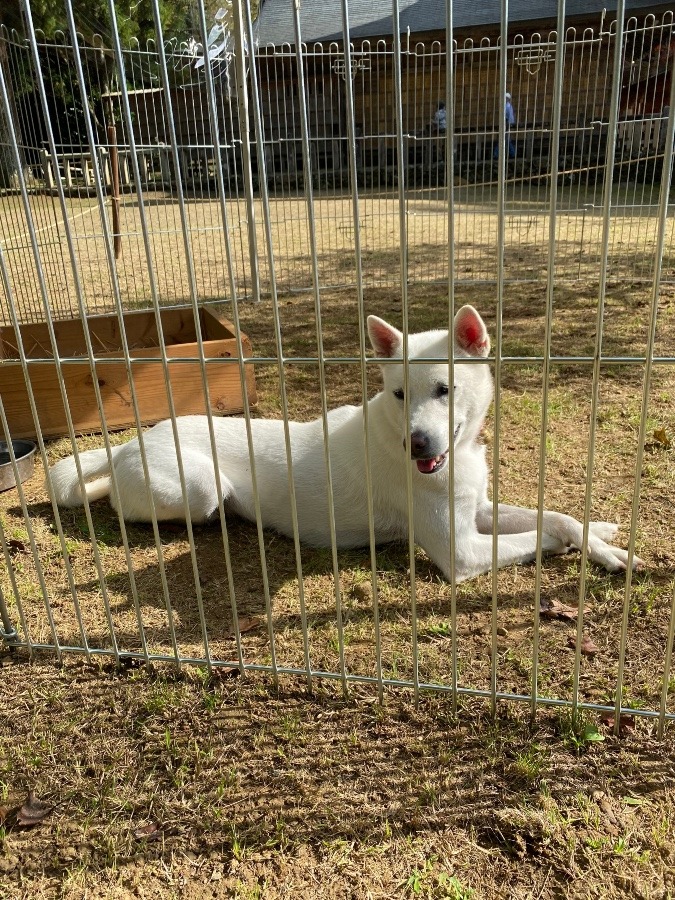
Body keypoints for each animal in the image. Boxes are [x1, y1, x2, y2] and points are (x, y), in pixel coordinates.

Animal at [50, 306, 640, 580]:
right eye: (399, 393)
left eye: (445, 389)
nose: (417, 445)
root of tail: (131, 444)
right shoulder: (462, 551)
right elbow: (541, 534)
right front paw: (570, 546)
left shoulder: (479, 508)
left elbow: (555, 514)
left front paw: (601, 539)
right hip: (199, 488)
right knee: (123, 502)